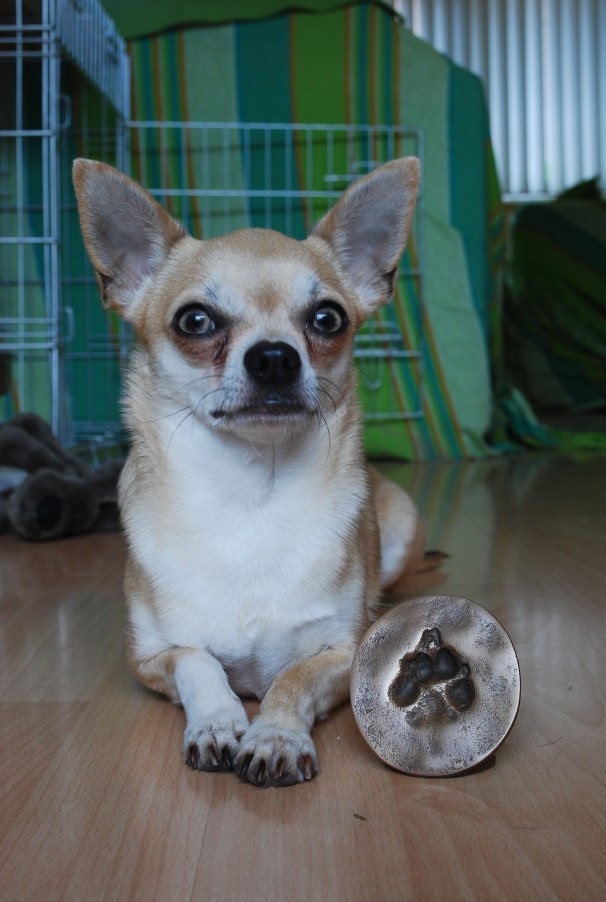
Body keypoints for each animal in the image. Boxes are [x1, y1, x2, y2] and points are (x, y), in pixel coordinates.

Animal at [73, 157, 428, 792]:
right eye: (194, 320)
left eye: (327, 318)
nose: (274, 357)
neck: (249, 496)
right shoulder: (149, 659)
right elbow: (197, 660)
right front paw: (217, 721)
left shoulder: (345, 653)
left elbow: (290, 679)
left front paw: (275, 735)